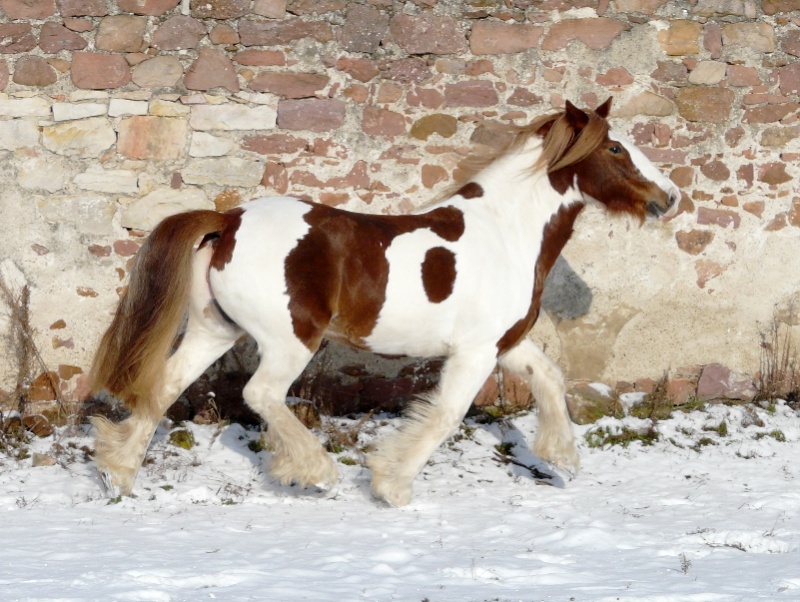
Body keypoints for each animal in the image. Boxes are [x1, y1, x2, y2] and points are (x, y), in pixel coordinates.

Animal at [90, 99, 680, 506]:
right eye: (615, 149)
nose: (669, 198)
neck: (506, 233)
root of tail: (229, 220)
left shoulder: (506, 344)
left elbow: (551, 380)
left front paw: (562, 458)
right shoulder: (475, 352)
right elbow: (445, 415)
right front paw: (391, 485)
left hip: (215, 329)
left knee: (164, 385)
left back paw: (119, 473)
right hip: (290, 339)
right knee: (261, 394)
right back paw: (316, 472)